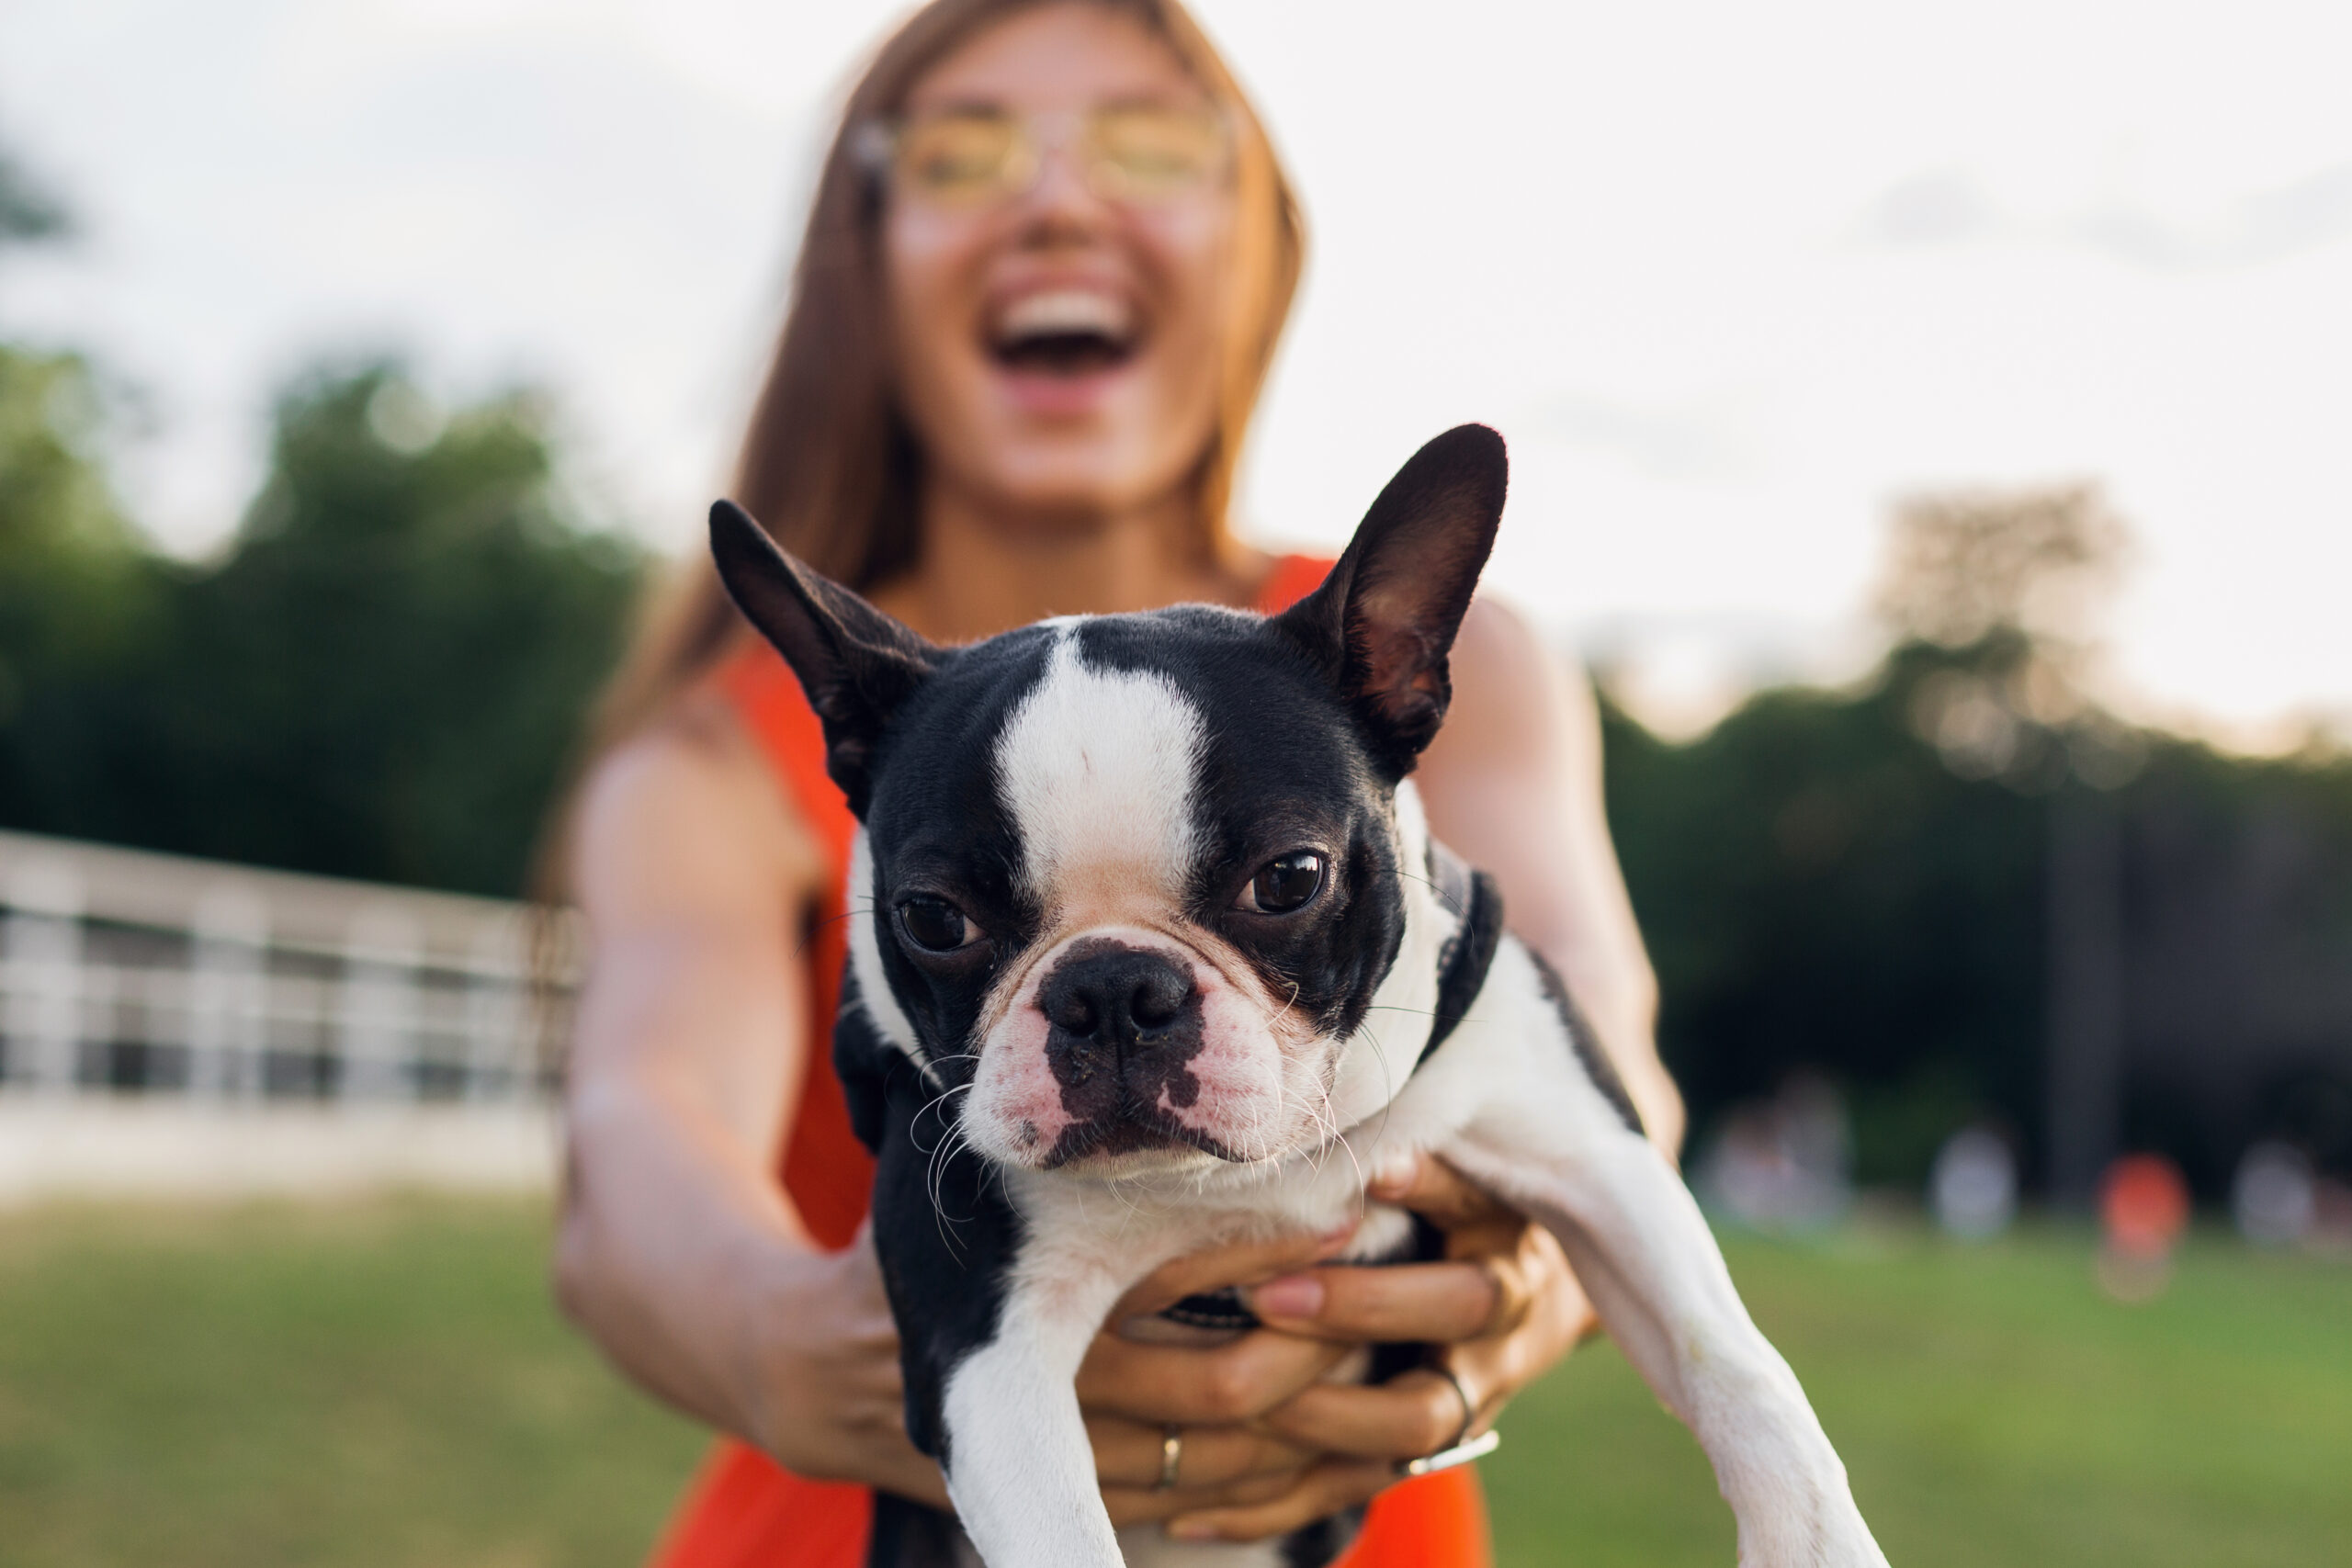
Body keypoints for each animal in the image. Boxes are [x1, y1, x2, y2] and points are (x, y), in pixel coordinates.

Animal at [706, 423, 1882, 1561]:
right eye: (932, 919)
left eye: (1289, 879)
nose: (1111, 990)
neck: (1233, 1178)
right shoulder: (983, 1355)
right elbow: (1063, 1534)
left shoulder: (1595, 1160)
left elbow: (1734, 1363)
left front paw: (1817, 1543)